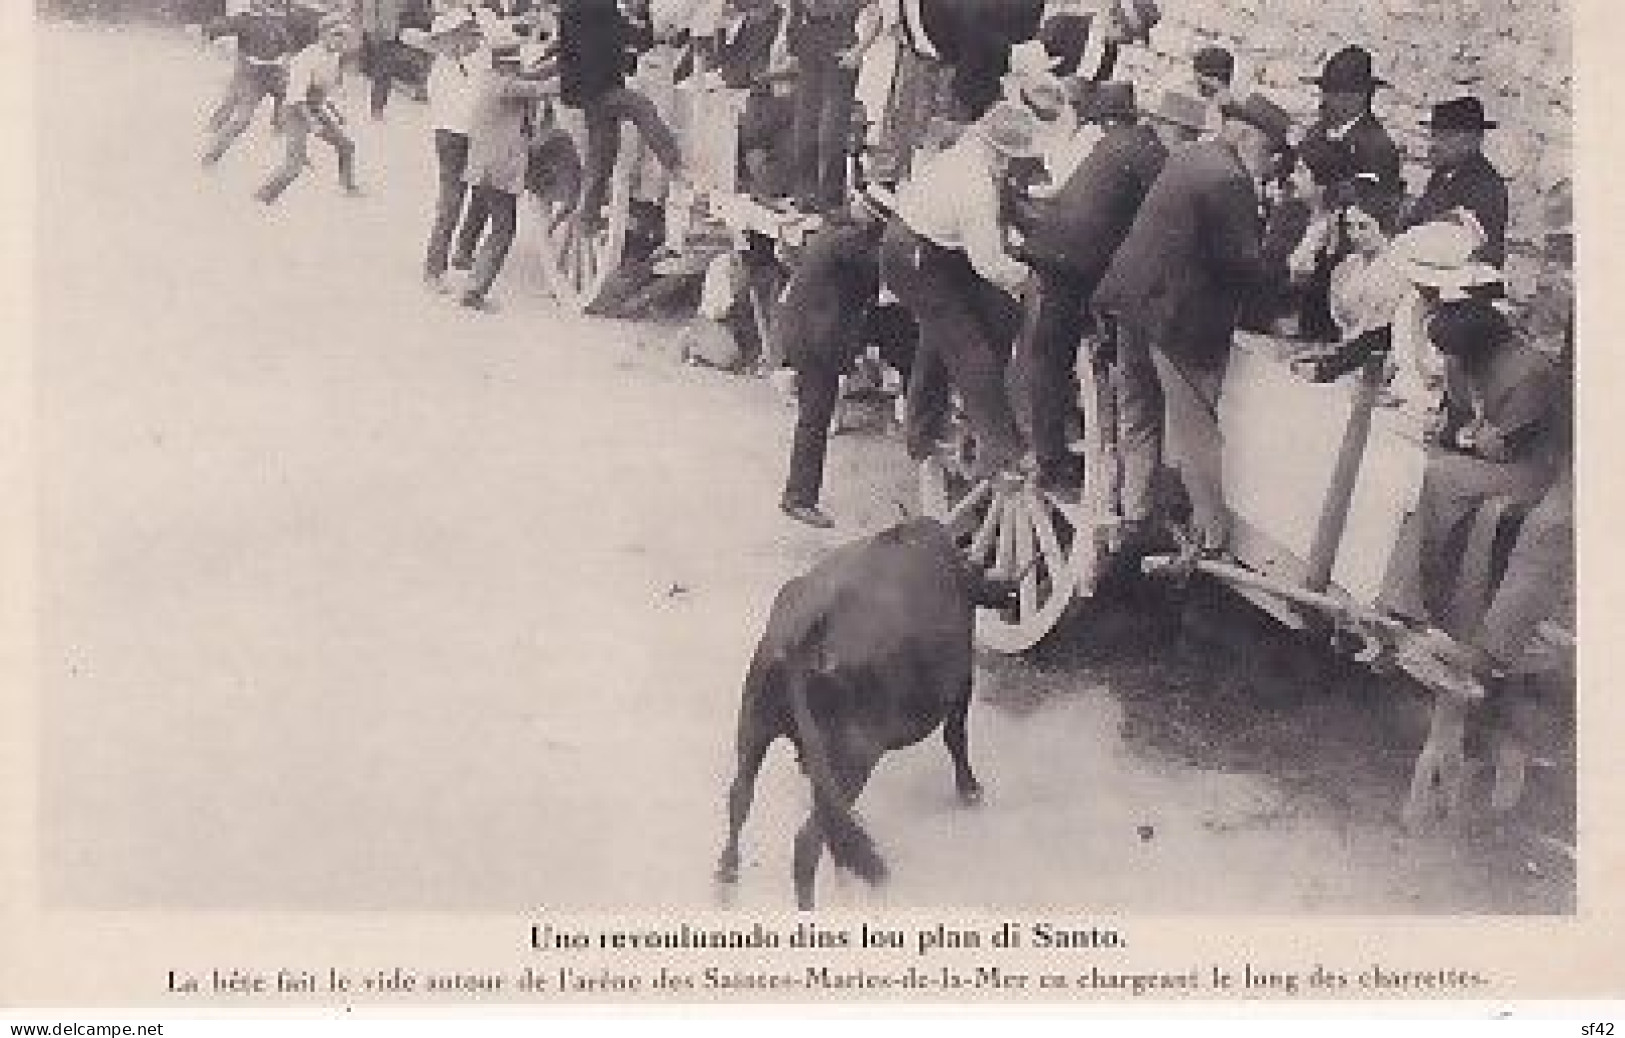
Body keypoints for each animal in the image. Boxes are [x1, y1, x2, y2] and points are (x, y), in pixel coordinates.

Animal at [715, 519, 1007, 909]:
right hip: (854, 755)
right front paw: (970, 790)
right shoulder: (962, 683)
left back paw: (727, 873)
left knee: (740, 796)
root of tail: (802, 634)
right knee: (805, 843)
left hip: (753, 725)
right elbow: (956, 735)